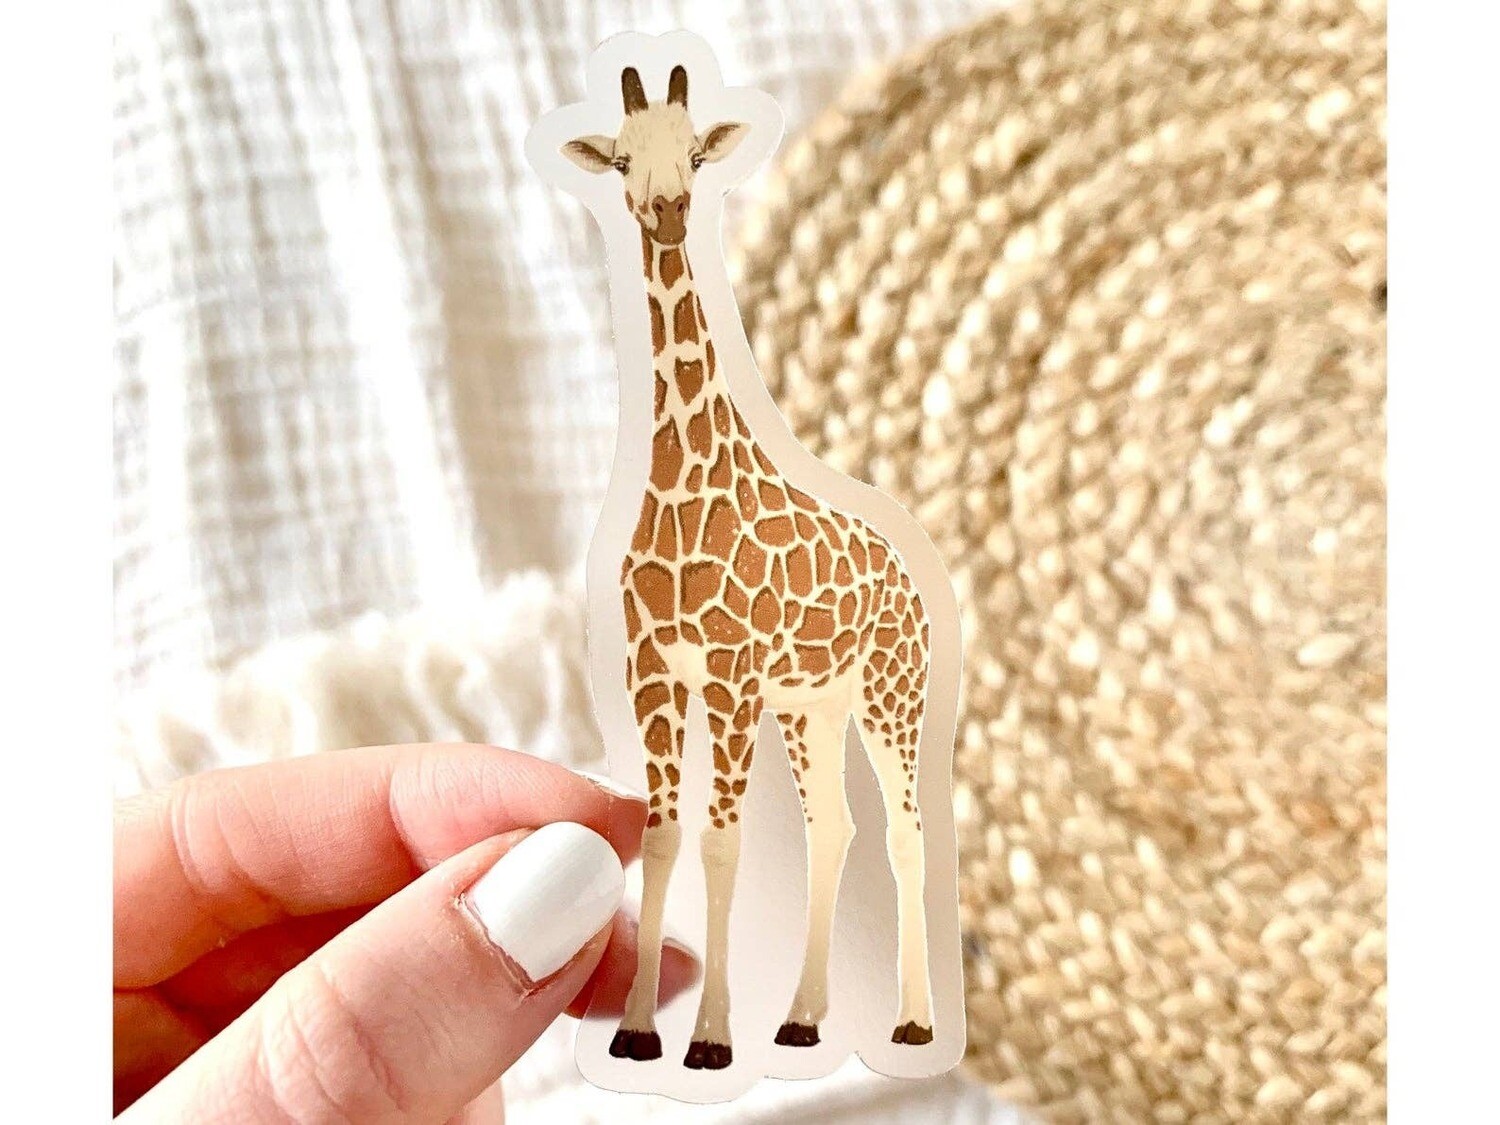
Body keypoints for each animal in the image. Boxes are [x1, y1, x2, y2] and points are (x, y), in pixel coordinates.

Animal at [563, 64, 935, 1071]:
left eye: (695, 151)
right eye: (621, 158)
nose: (668, 211)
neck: (681, 481)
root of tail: (910, 579)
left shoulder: (729, 678)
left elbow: (720, 844)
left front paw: (711, 1038)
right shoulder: (654, 674)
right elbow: (660, 837)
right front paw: (639, 1028)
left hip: (892, 695)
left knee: (906, 829)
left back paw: (913, 1019)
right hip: (814, 706)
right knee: (834, 828)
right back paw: (803, 1018)